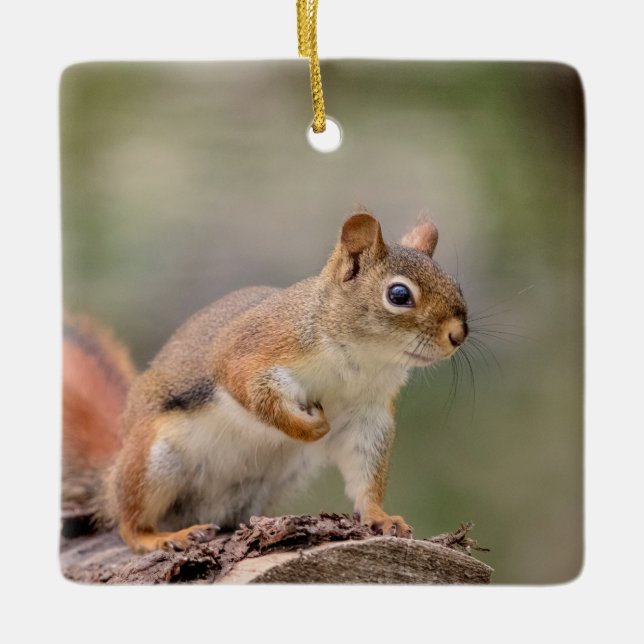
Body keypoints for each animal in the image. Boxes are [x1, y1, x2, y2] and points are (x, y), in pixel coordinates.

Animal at [62, 212, 468, 553]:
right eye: (399, 295)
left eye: (456, 285)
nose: (458, 335)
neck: (361, 360)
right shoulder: (253, 349)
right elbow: (252, 392)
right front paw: (308, 428)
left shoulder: (367, 414)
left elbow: (365, 470)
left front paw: (379, 517)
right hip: (152, 462)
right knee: (128, 522)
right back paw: (159, 536)